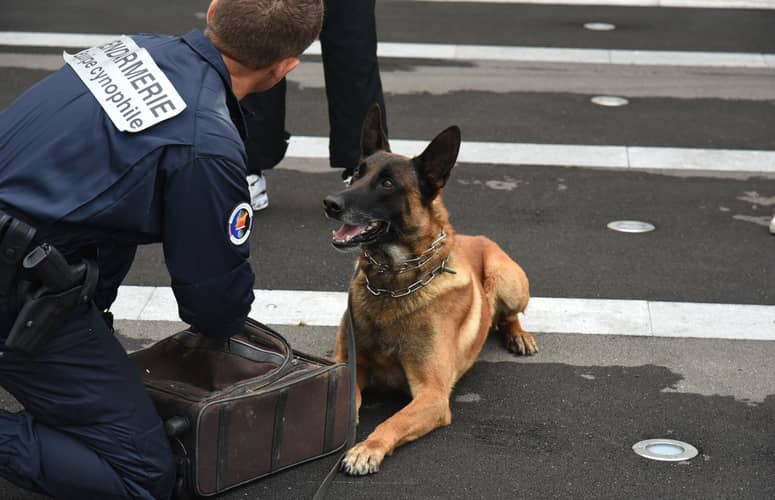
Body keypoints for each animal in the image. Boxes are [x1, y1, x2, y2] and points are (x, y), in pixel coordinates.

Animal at [324, 103, 536, 474]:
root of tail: (475, 237)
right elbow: (350, 403)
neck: (393, 285)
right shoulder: (350, 367)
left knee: (508, 315)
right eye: (356, 174)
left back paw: (518, 335)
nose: (329, 203)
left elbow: (392, 421)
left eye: (388, 182)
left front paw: (367, 448)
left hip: (506, 279)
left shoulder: (432, 394)